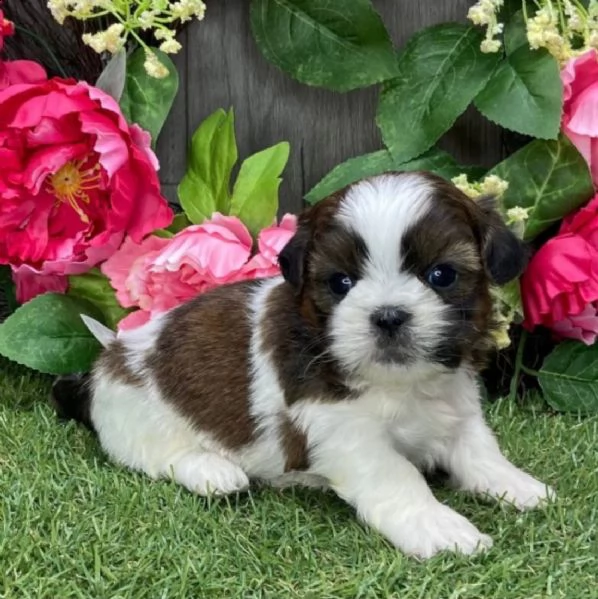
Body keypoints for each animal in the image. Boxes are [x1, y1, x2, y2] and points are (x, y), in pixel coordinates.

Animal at [54, 172, 556, 556]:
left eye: (442, 275)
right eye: (340, 282)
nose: (388, 315)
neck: (399, 383)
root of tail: (110, 355)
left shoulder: (455, 403)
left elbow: (479, 450)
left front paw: (518, 485)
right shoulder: (343, 430)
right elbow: (399, 476)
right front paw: (438, 526)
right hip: (137, 416)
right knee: (158, 456)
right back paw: (213, 472)